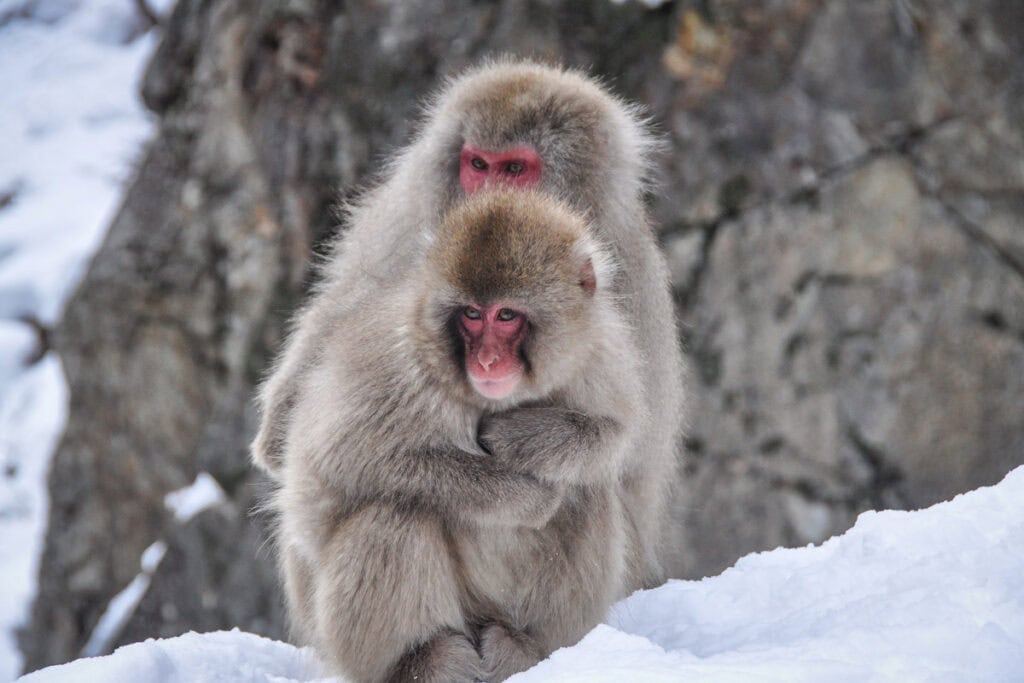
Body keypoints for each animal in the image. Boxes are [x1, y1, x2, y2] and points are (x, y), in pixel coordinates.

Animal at [253, 61, 688, 679]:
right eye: (478, 164)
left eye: (516, 168)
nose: (487, 193)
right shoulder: (405, 224)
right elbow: (299, 427)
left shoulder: (627, 274)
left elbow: (626, 448)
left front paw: (528, 436)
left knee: (586, 487)